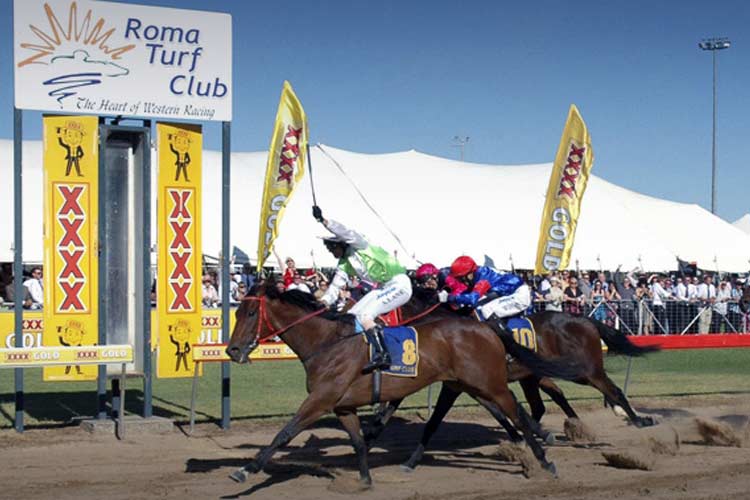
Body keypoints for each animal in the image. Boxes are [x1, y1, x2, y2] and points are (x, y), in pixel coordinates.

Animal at [226, 286, 592, 484]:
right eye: (238, 311)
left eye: (248, 314)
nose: (231, 350)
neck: (328, 342)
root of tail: (487, 328)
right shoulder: (343, 404)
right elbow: (361, 438)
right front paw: (364, 477)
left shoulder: (321, 399)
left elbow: (285, 432)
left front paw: (246, 469)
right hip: (475, 381)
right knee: (528, 405)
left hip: (491, 383)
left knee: (519, 410)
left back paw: (545, 457)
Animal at [368, 288, 660, 470]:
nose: (374, 328)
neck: (444, 328)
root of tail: (585, 320)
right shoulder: (464, 383)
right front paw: (372, 433)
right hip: (537, 375)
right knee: (548, 401)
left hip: (583, 371)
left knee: (612, 390)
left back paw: (638, 420)